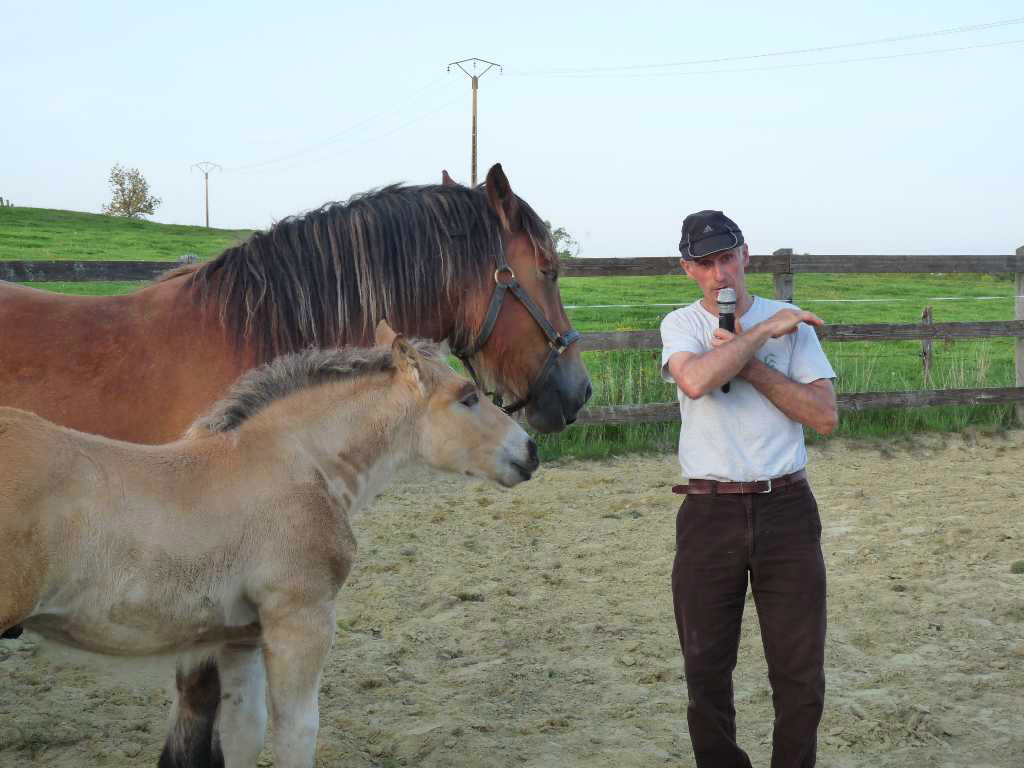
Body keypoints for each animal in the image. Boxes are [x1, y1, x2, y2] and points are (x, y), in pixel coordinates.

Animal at [0, 322, 539, 768]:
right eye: (467, 397)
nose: (530, 450)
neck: (294, 465)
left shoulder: (240, 636)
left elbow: (245, 732)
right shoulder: (300, 619)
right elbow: (297, 732)